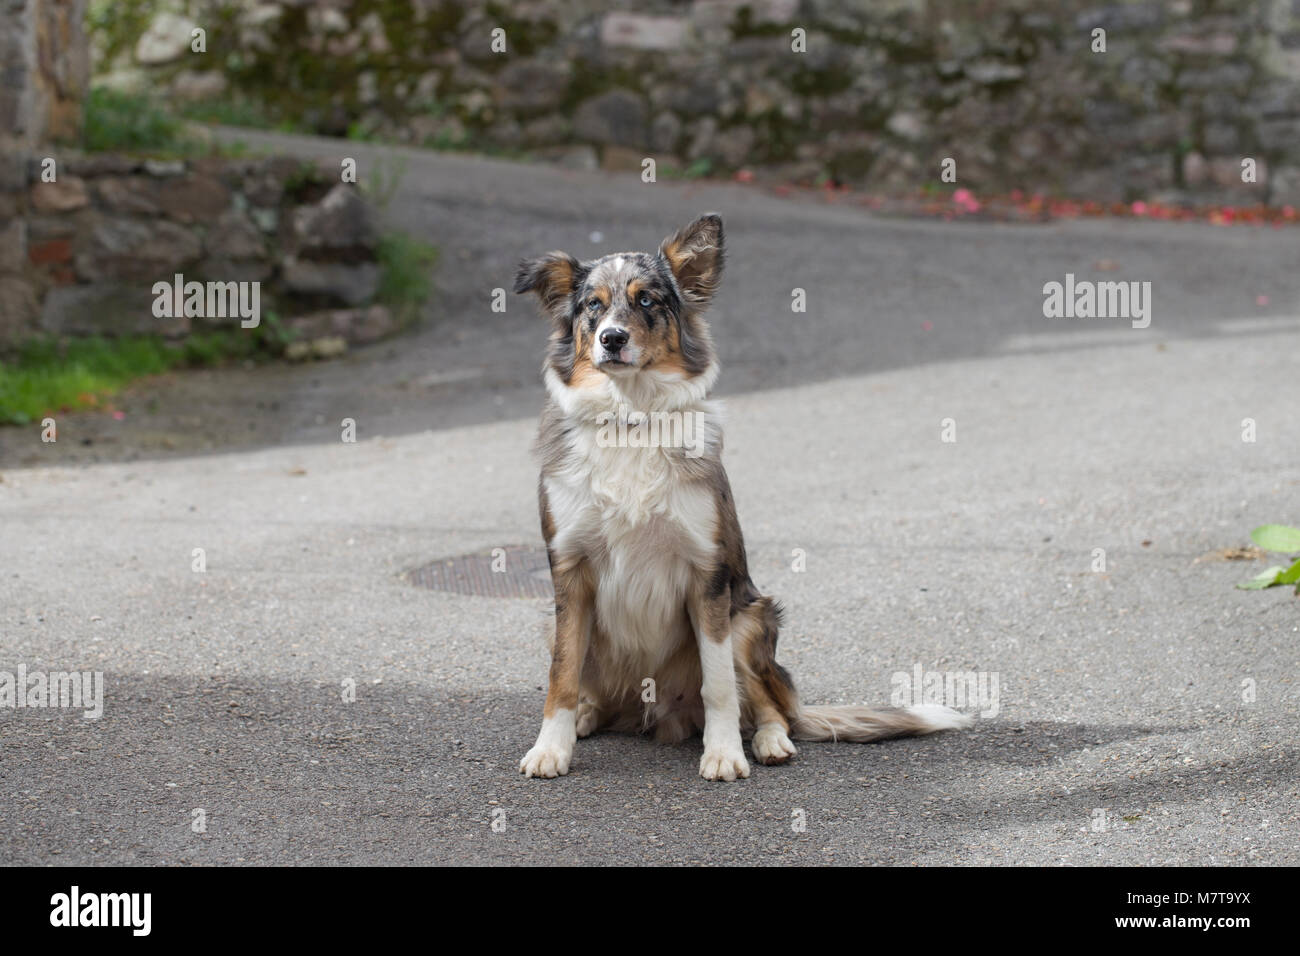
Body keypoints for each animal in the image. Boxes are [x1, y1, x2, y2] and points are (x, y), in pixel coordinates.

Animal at [512, 213, 972, 780]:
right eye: (592, 305)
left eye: (647, 300)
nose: (612, 338)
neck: (631, 420)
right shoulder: (569, 573)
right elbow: (562, 675)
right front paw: (551, 747)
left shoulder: (708, 578)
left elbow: (719, 686)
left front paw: (724, 752)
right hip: (557, 623)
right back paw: (586, 716)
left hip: (750, 618)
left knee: (770, 705)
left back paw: (771, 741)